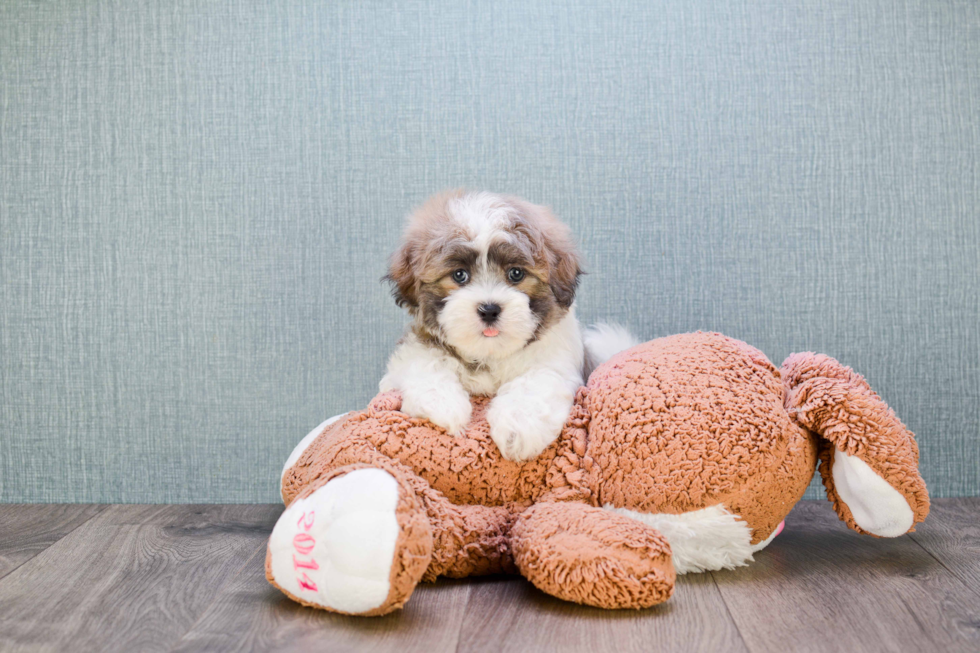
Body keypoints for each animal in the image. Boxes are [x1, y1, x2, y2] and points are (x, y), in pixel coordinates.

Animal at [380, 191, 580, 460]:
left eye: (516, 274)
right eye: (459, 275)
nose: (489, 309)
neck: (488, 352)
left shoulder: (553, 361)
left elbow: (535, 384)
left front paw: (518, 426)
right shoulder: (415, 347)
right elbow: (425, 363)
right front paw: (443, 405)